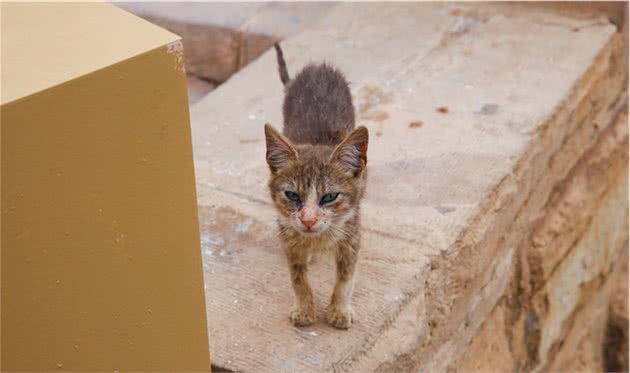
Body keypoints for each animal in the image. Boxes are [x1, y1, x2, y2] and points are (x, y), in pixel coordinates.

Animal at [262, 44, 370, 328]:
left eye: (329, 197)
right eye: (292, 195)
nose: (308, 220)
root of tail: (316, 66)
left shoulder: (352, 232)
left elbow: (346, 276)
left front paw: (340, 310)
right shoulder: (288, 236)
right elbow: (298, 277)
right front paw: (305, 309)